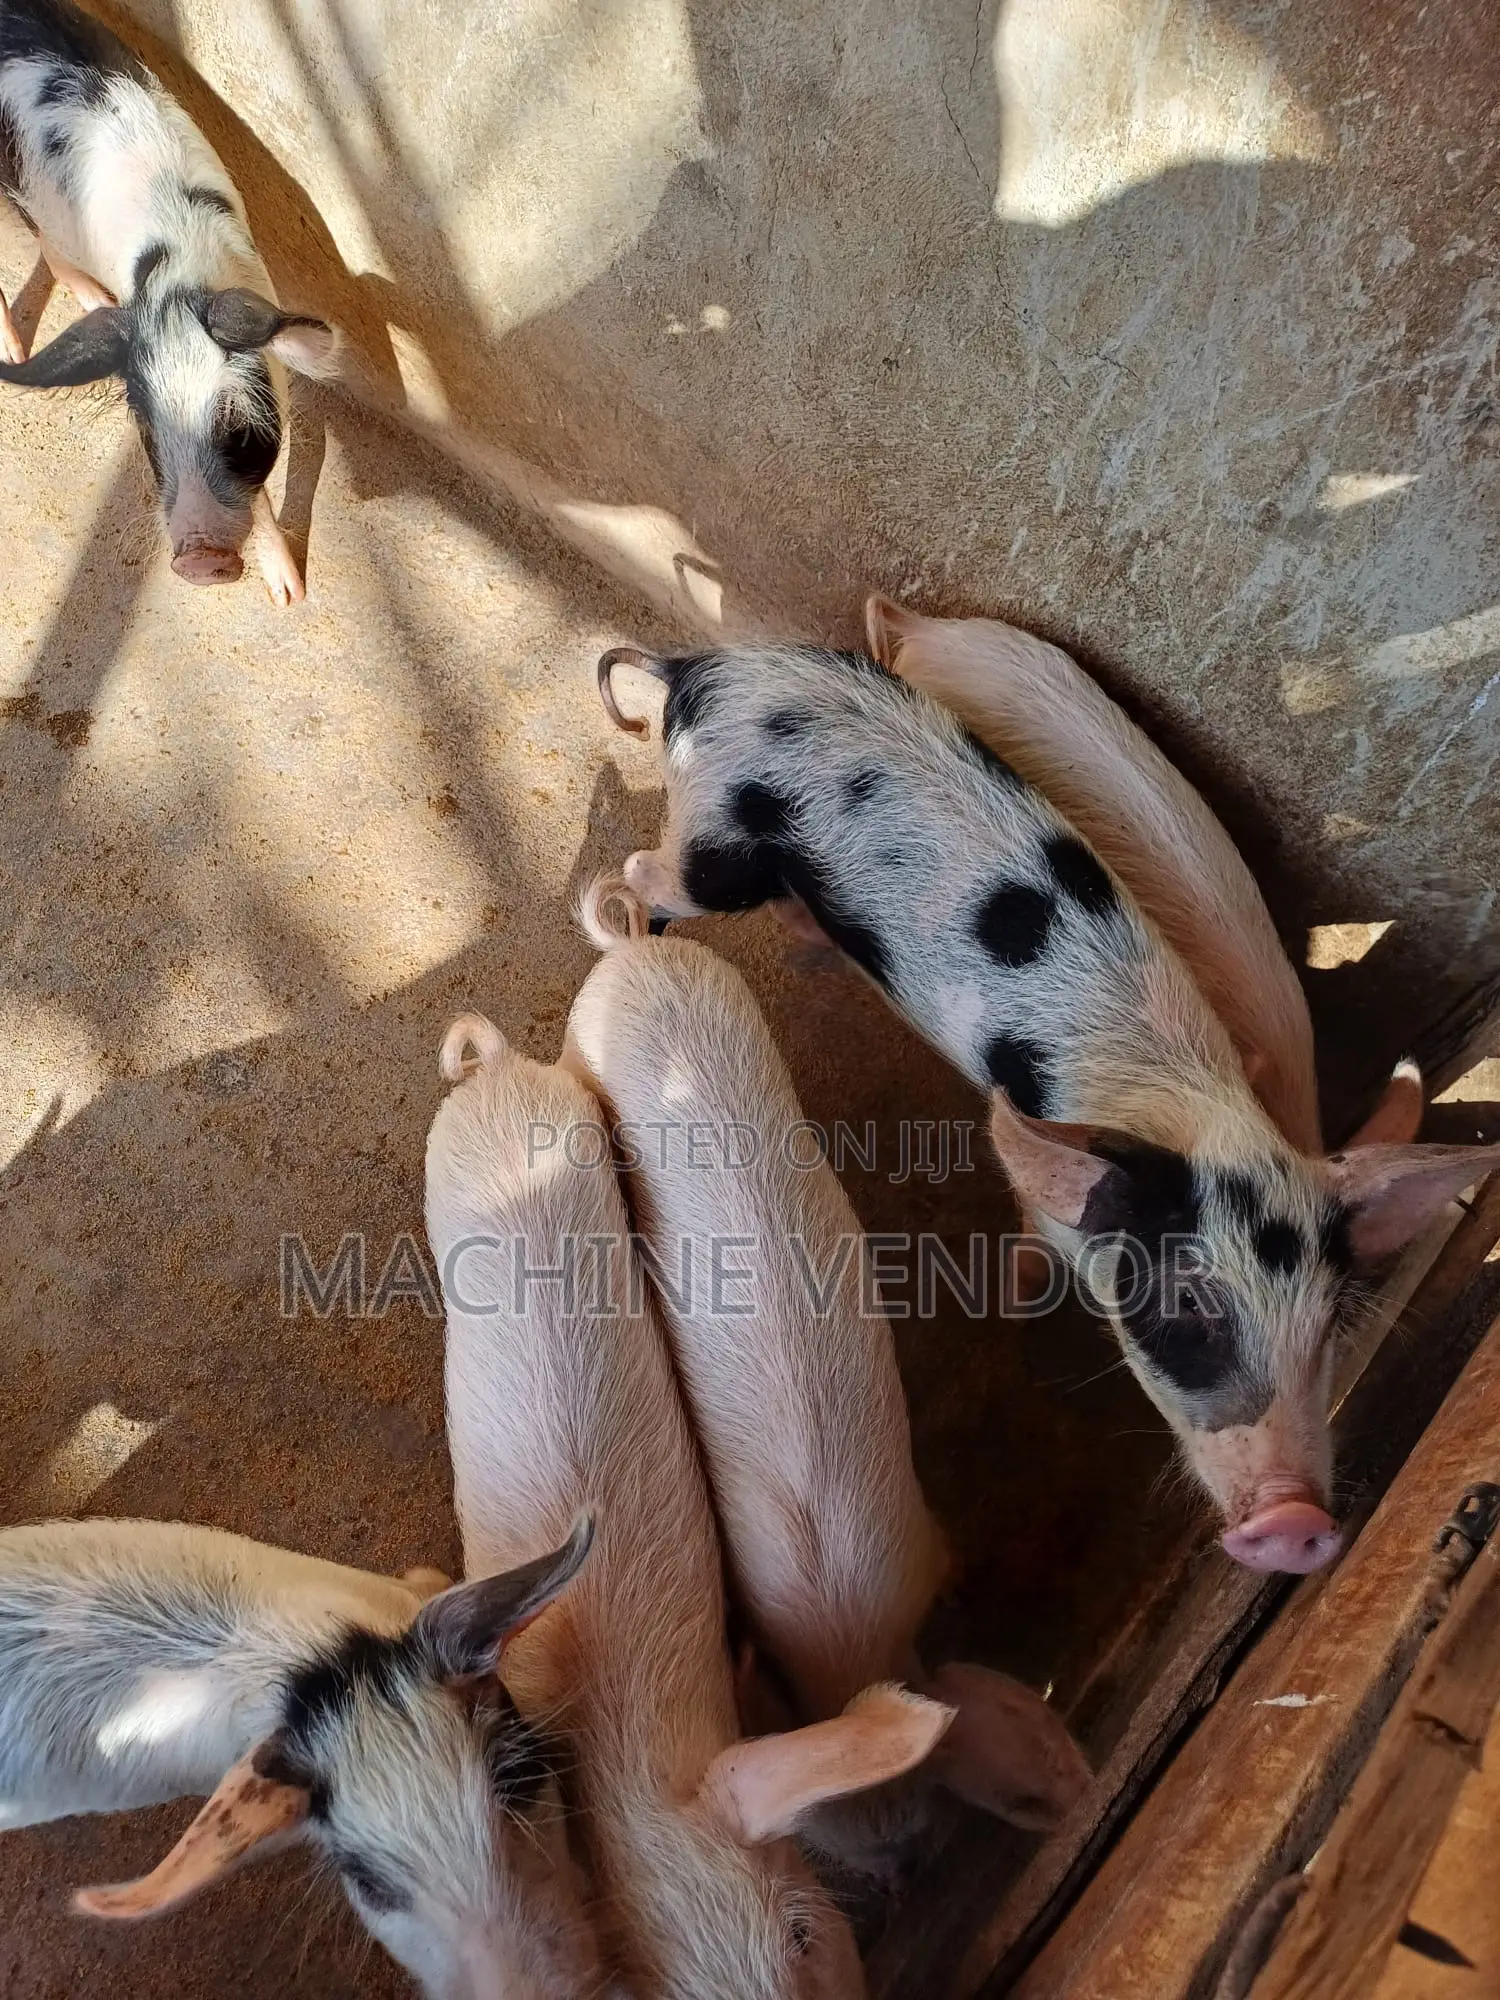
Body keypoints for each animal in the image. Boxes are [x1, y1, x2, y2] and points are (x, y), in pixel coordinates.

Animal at [0, 0, 337, 602]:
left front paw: (290, 596)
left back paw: (89, 304)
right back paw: (15, 354)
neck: (174, 273)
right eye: (149, 431)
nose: (200, 560)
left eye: (236, 427)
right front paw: (288, 594)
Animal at [564, 877, 1092, 1878]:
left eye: (922, 1815)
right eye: (841, 1850)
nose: (903, 1873)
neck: (845, 1637)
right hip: (583, 1045)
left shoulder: (916, 1539)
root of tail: (633, 952)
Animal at [597, 639, 1500, 1574]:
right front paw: (1016, 1293)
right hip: (714, 842)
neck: (1194, 1108)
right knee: (645, 872)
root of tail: (700, 668)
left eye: (1326, 1331)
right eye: (1186, 1306)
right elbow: (1030, 1234)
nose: (1299, 1524)